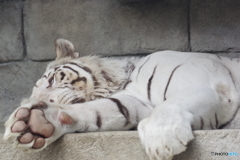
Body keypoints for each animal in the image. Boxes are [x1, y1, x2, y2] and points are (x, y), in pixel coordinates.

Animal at [3, 38, 240, 159]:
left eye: (51, 81)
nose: (48, 101)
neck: (125, 80)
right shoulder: (134, 102)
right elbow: (101, 110)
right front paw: (35, 123)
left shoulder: (207, 85)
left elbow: (169, 104)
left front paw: (161, 138)